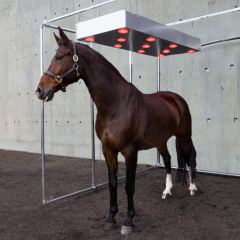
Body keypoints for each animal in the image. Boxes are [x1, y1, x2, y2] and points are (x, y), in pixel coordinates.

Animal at [35, 27, 197, 234]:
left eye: (59, 57)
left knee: (190, 157)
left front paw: (128, 221)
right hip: (160, 140)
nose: (40, 90)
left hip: (184, 136)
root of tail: (177, 98)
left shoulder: (130, 151)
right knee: (168, 160)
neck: (116, 105)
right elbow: (113, 184)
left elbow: (129, 185)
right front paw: (111, 218)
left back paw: (192, 188)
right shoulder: (108, 150)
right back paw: (167, 191)